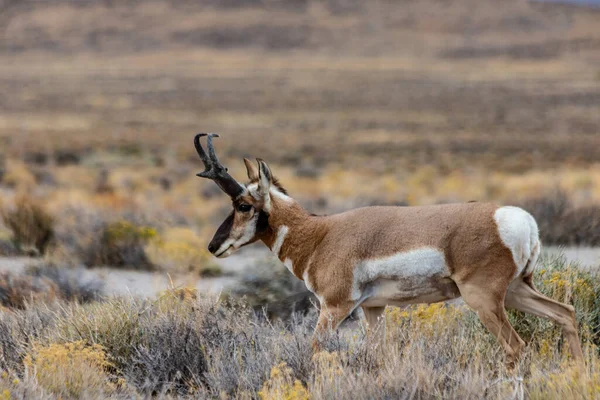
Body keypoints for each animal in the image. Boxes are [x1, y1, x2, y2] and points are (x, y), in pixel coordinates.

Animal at [195, 134, 584, 366]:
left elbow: (315, 350)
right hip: (517, 291)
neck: (321, 233)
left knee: (517, 347)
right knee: (565, 313)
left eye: (243, 205)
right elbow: (378, 355)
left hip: (484, 300)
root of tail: (519, 218)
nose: (213, 246)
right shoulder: (373, 309)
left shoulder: (334, 308)